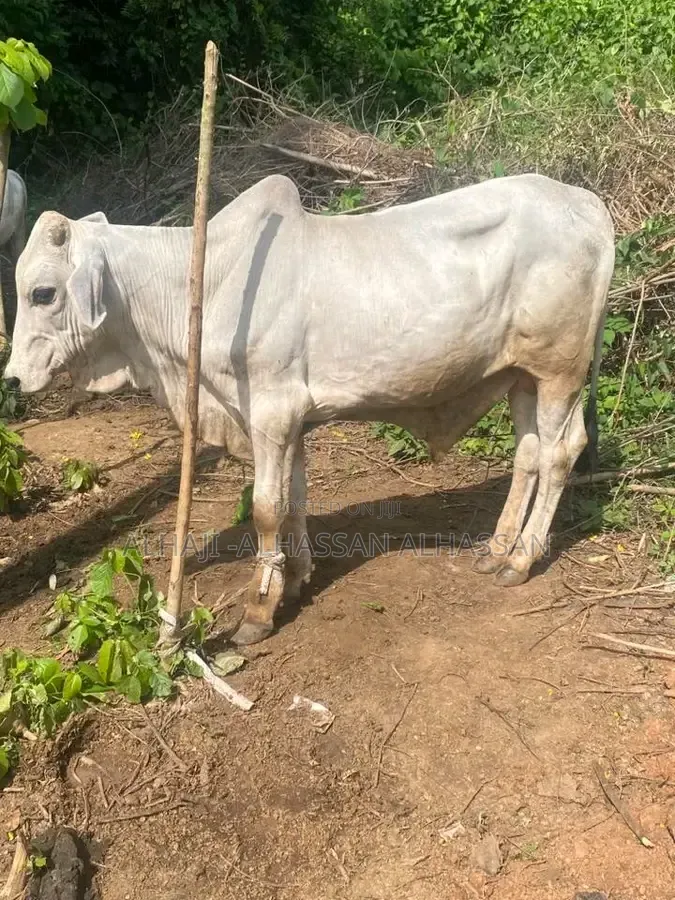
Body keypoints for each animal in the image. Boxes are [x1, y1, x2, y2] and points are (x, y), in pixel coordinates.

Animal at [3, 173, 615, 644]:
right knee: (528, 454)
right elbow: (294, 499)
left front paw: (258, 612)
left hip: (560, 370)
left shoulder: (270, 411)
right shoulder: (292, 421)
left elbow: (267, 508)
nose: (12, 377)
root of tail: (589, 205)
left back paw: (521, 559)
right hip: (521, 376)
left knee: (561, 452)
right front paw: (295, 579)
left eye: (43, 293)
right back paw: (496, 547)